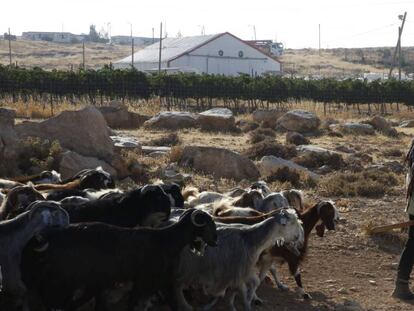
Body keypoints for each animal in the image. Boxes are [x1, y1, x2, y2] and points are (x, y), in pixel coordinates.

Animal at [22, 208, 218, 310]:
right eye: (207, 224)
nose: (215, 241)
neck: (167, 240)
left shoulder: (160, 281)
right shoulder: (146, 280)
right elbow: (134, 302)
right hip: (64, 281)